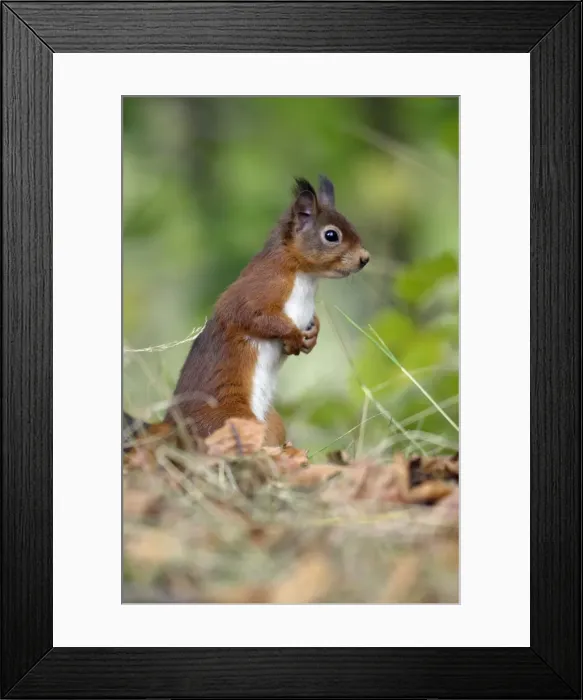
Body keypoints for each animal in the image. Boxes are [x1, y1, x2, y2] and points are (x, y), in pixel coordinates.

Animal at [124, 175, 369, 449]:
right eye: (331, 235)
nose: (365, 258)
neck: (305, 277)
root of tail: (175, 429)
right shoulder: (257, 290)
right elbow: (250, 316)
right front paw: (294, 337)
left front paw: (312, 335)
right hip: (231, 422)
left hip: (271, 422)